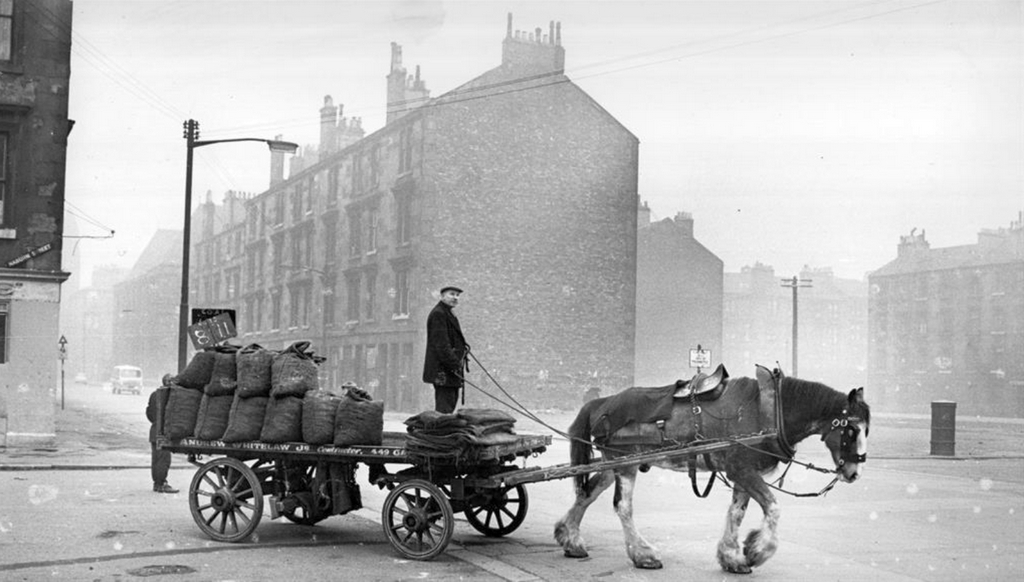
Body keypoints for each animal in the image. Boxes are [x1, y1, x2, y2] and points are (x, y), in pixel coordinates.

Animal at [557, 366, 868, 573]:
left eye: (867, 429)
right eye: (851, 430)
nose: (854, 472)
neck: (767, 411)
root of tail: (602, 401)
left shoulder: (743, 472)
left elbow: (736, 513)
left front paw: (732, 556)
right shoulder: (741, 469)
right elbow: (773, 507)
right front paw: (756, 551)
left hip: (612, 463)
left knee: (586, 493)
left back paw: (569, 538)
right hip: (625, 463)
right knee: (623, 507)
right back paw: (643, 554)